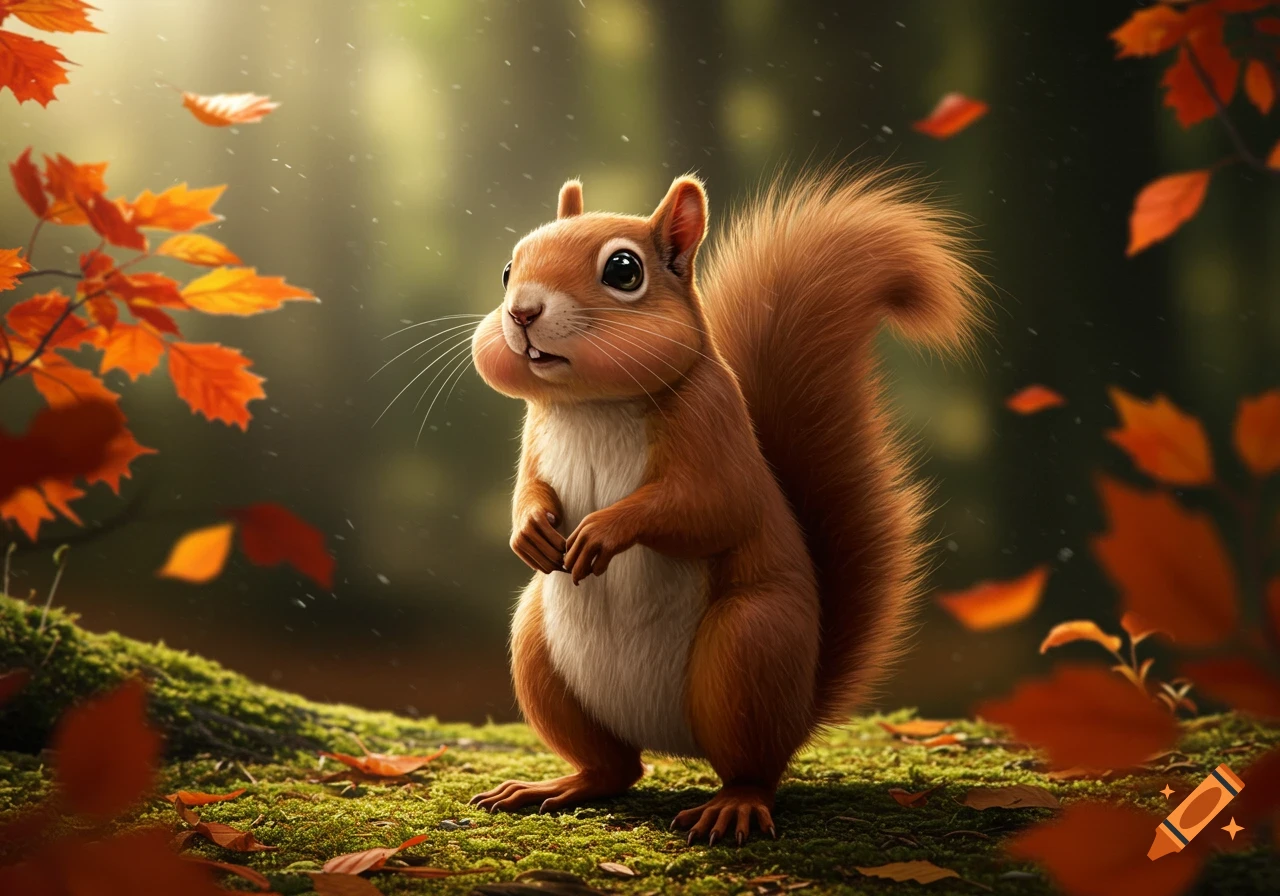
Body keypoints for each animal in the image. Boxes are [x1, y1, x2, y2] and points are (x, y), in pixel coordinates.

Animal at [468, 168, 982, 845]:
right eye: (508, 269)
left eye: (624, 271)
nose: (522, 311)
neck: (592, 405)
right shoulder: (536, 437)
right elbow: (529, 489)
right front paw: (529, 531)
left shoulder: (715, 428)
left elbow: (711, 507)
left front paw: (604, 530)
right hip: (538, 651)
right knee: (616, 769)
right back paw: (557, 785)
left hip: (749, 646)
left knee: (753, 767)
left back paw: (732, 805)